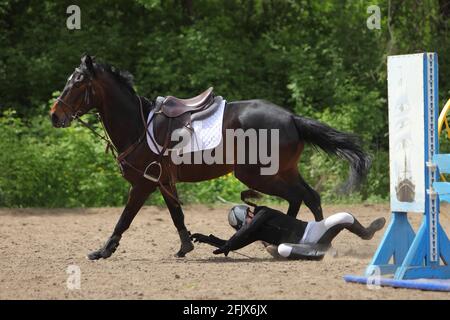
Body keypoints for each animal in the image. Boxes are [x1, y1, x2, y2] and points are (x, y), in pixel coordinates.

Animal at [51, 55, 370, 260]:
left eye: (77, 83)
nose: (55, 115)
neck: (138, 125)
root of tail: (292, 117)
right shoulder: (164, 182)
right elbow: (176, 214)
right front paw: (185, 247)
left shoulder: (143, 184)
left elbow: (124, 218)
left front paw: (103, 251)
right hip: (283, 170)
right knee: (309, 196)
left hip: (258, 174)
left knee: (298, 197)